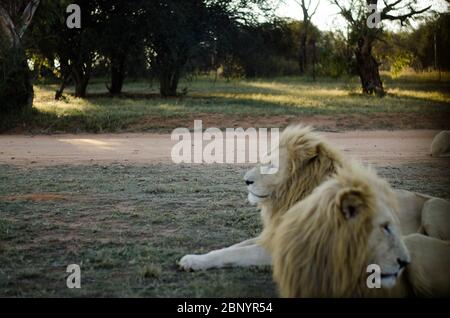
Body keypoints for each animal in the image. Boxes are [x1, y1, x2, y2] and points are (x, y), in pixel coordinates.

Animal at [178, 124, 450, 270]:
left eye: (271, 165)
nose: (245, 181)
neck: (290, 198)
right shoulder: (274, 234)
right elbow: (232, 247)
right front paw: (195, 258)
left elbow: (234, 254)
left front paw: (193, 260)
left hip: (432, 206)